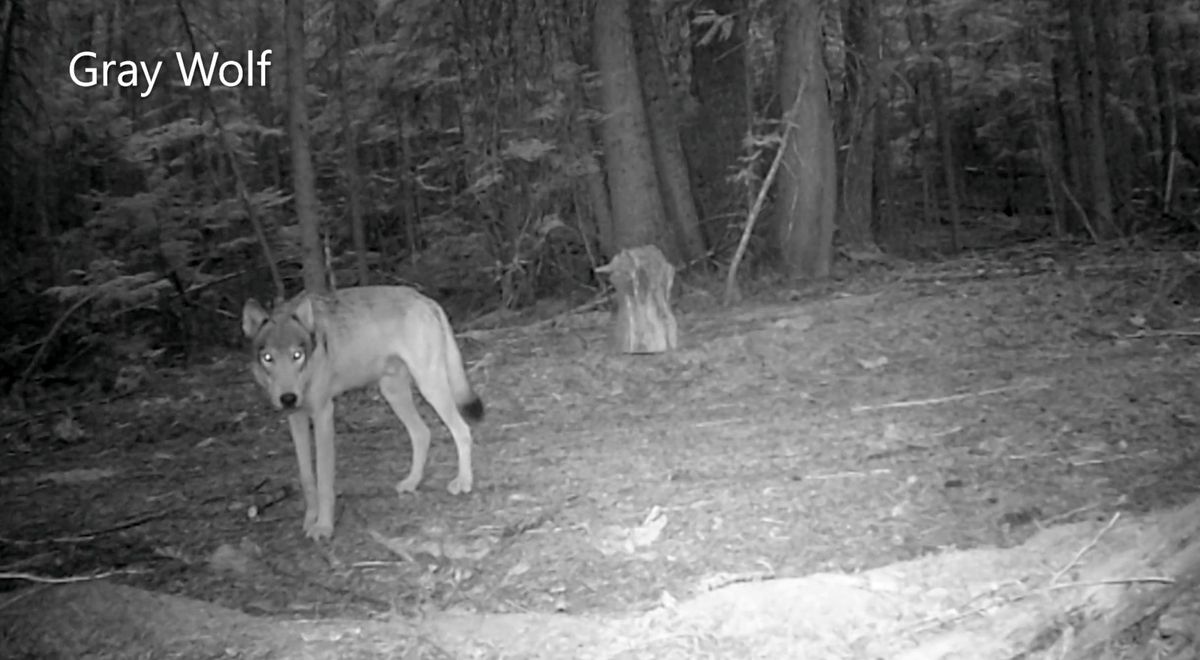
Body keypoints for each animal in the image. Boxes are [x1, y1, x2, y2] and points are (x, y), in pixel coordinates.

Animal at [238, 286, 482, 540]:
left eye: (297, 355)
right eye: (268, 358)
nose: (288, 398)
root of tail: (425, 299)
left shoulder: (323, 414)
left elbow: (323, 479)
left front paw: (323, 527)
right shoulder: (296, 418)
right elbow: (307, 478)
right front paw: (310, 520)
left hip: (429, 386)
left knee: (462, 430)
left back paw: (463, 481)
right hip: (393, 392)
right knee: (422, 433)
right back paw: (412, 482)